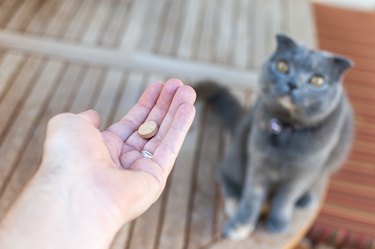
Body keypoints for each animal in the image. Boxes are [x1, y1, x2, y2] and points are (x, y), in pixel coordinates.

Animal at [197, 33, 356, 239]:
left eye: (318, 80)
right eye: (282, 65)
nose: (293, 84)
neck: (287, 129)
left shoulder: (304, 170)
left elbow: (285, 198)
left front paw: (279, 222)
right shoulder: (258, 160)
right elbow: (253, 195)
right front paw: (240, 224)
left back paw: (305, 198)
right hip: (240, 148)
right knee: (224, 172)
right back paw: (233, 202)